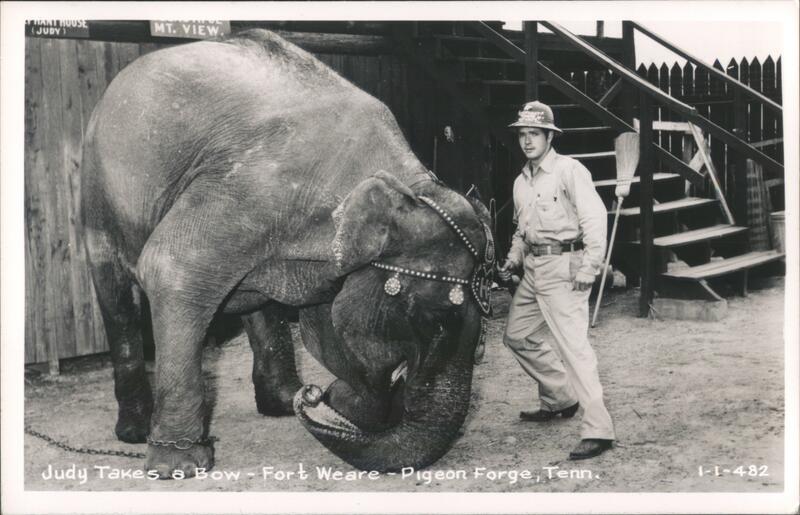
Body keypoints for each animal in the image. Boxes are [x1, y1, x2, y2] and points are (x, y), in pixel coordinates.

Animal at [81, 29, 494, 478]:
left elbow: (327, 326)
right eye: (431, 320)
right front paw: (181, 466)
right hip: (98, 191)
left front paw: (344, 404)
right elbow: (170, 269)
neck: (408, 187)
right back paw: (136, 431)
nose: (315, 395)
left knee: (257, 300)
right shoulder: (247, 187)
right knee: (118, 296)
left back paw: (281, 402)